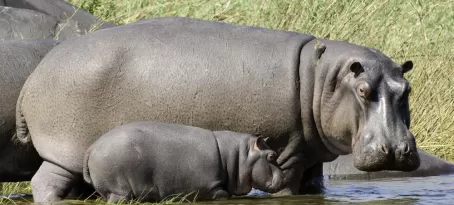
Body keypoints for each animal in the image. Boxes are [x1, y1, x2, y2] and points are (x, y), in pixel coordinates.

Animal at [82, 121, 284, 203]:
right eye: (271, 156)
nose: (284, 176)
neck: (237, 156)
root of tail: (91, 149)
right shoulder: (209, 186)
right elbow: (223, 194)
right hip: (118, 190)